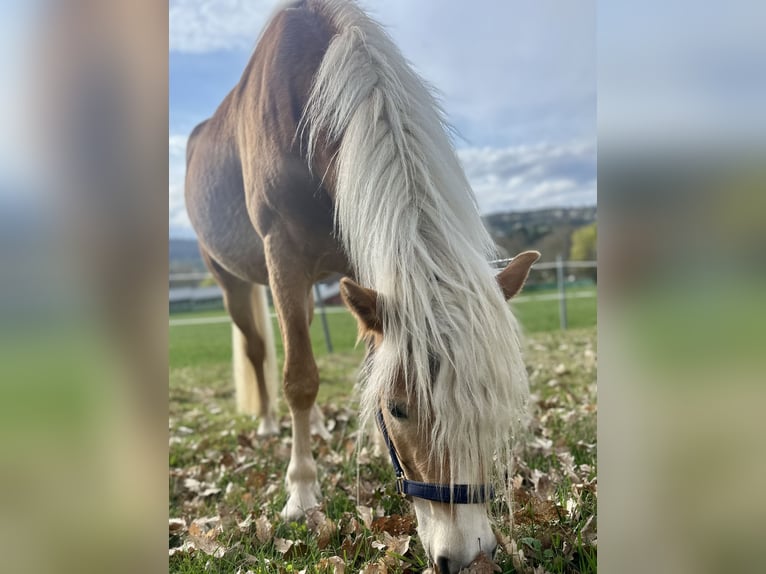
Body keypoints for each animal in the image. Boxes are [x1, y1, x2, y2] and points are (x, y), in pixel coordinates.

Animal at [184, 1, 538, 570]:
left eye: (490, 396)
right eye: (399, 409)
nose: (467, 556)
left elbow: (371, 359)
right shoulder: (283, 256)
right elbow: (300, 378)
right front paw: (301, 491)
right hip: (231, 279)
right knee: (259, 350)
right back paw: (268, 424)